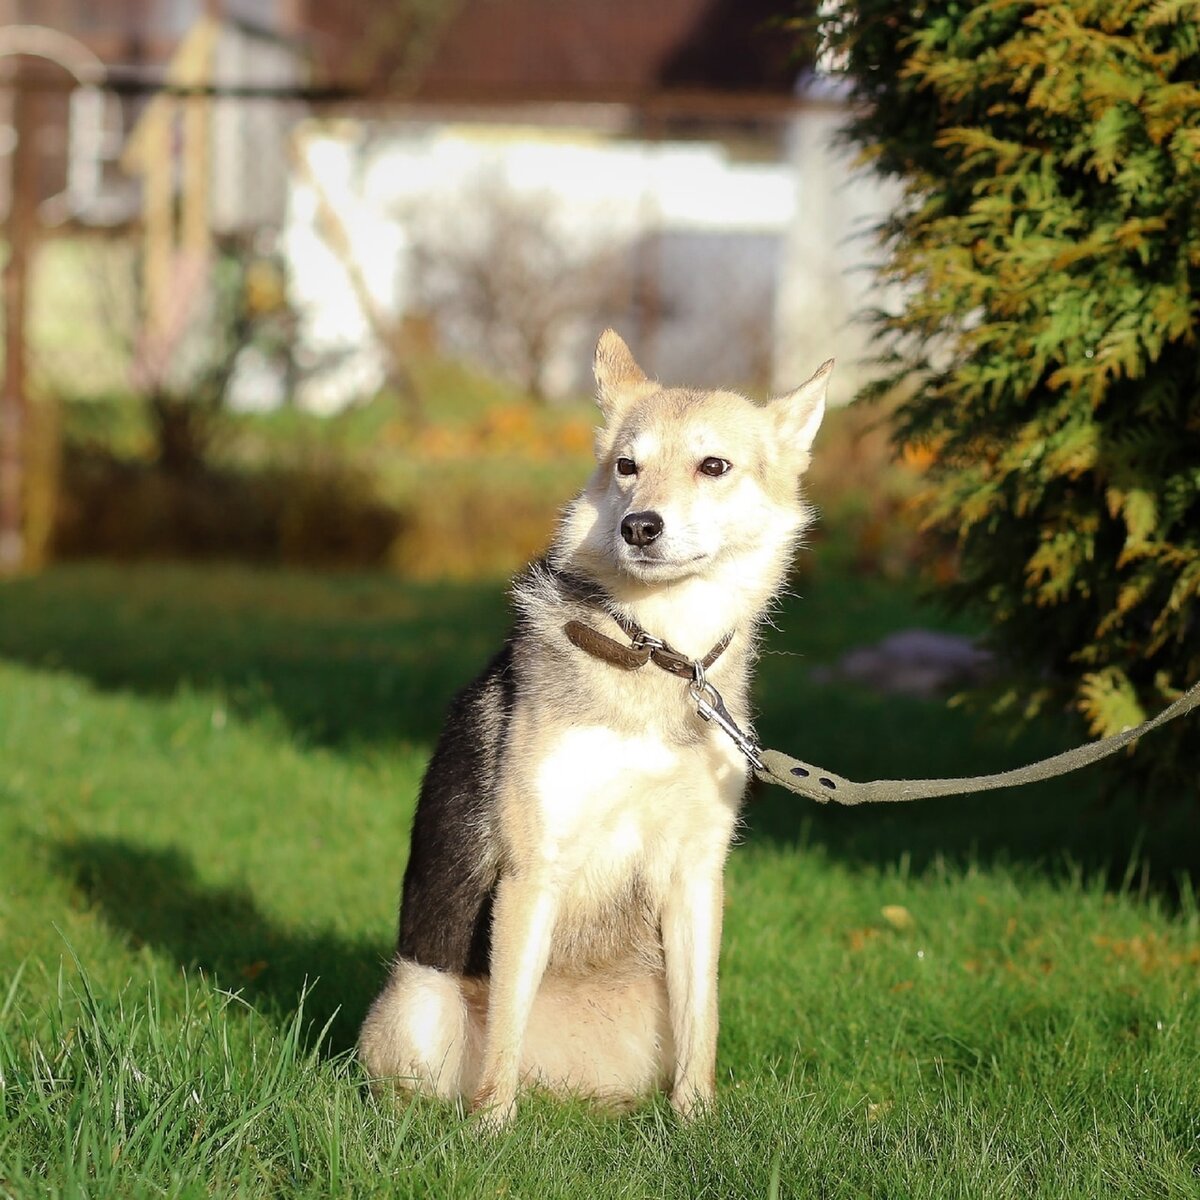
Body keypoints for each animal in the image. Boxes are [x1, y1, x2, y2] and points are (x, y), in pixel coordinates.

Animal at [355, 331, 825, 1123]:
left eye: (713, 465)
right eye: (628, 466)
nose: (639, 526)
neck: (661, 654)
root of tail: (563, 1088)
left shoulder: (698, 871)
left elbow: (704, 1025)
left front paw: (698, 1126)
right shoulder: (534, 868)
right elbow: (503, 1043)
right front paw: (492, 1133)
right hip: (420, 1001)